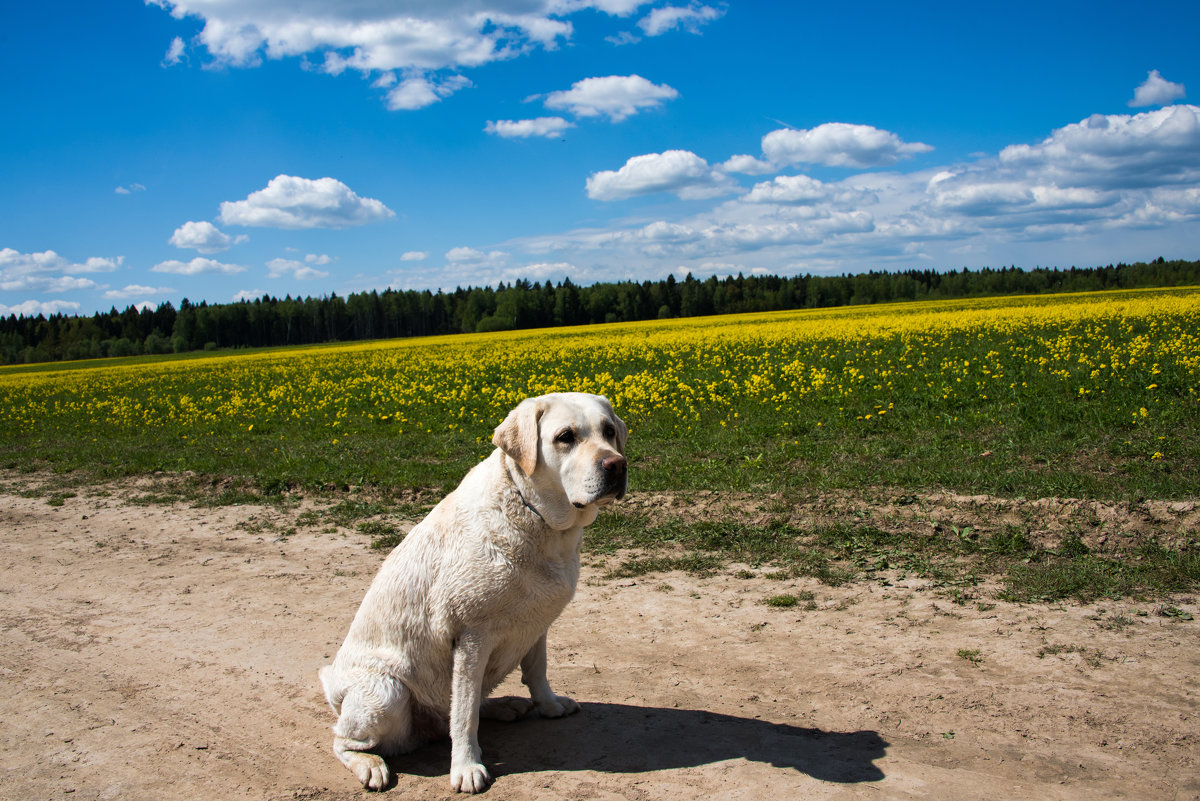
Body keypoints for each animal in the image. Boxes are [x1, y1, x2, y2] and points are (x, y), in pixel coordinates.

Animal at [319, 390, 628, 791]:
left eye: (609, 431)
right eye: (565, 437)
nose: (616, 465)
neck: (537, 519)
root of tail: (335, 690)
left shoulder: (538, 622)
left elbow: (537, 670)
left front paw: (548, 705)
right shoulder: (471, 636)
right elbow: (464, 714)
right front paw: (466, 767)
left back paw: (503, 706)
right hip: (386, 693)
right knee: (344, 740)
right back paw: (370, 765)